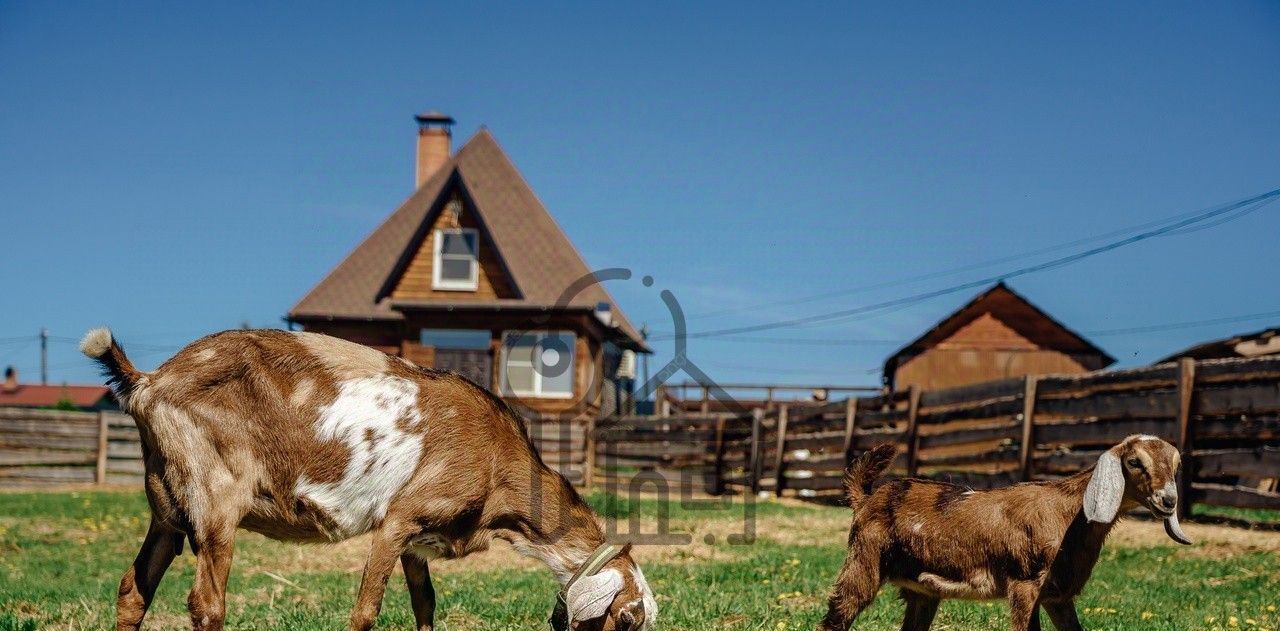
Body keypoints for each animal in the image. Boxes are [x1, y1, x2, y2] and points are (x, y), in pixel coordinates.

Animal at [81, 330, 660, 629]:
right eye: (627, 619)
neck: (501, 467)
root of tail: (148, 382)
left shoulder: (419, 542)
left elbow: (425, 604)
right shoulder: (398, 520)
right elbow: (365, 611)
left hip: (167, 508)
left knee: (133, 590)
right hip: (215, 500)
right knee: (206, 604)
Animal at [819, 432, 1187, 629]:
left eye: (1177, 465)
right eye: (1134, 462)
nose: (1168, 501)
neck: (1068, 513)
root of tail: (867, 497)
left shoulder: (1058, 595)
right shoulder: (1024, 584)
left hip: (922, 590)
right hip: (864, 561)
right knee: (838, 613)